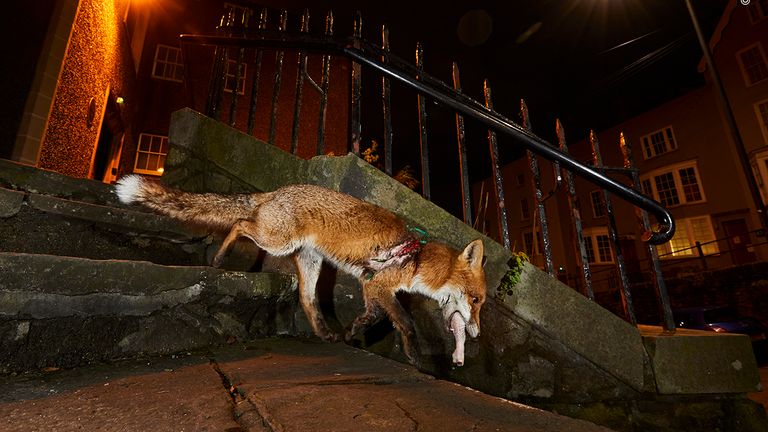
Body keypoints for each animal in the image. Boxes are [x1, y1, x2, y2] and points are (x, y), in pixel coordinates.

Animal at [114, 176, 486, 368]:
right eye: (477, 300)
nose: (477, 334)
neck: (416, 259)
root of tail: (275, 191)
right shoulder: (381, 285)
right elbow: (406, 323)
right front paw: (414, 356)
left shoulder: (370, 287)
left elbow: (374, 317)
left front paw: (352, 331)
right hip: (278, 241)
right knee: (239, 223)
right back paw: (220, 257)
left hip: (310, 262)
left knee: (308, 300)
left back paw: (324, 333)